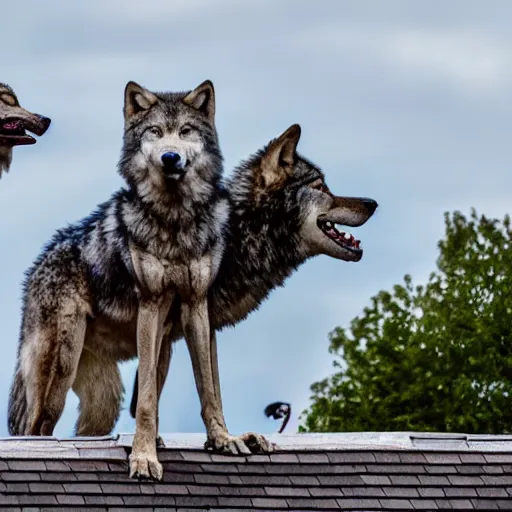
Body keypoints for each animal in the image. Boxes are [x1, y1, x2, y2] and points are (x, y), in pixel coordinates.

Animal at [9, 79, 272, 480]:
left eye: (185, 131)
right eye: (155, 132)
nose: (170, 158)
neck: (175, 220)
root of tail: (40, 262)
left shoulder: (196, 306)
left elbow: (208, 388)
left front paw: (223, 440)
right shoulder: (150, 305)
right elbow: (148, 398)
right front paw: (144, 457)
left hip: (110, 391)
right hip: (59, 369)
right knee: (36, 431)